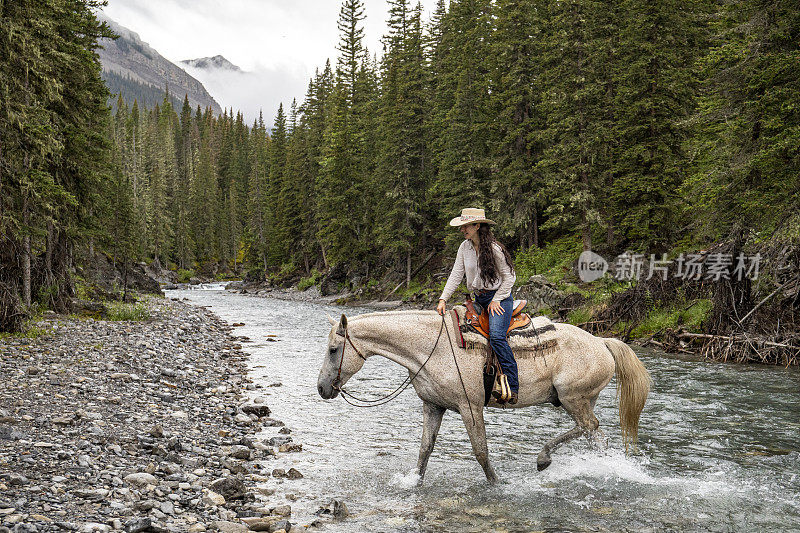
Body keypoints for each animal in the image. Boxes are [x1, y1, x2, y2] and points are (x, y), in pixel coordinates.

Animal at [316, 306, 652, 484]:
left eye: (333, 349)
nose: (321, 388)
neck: (433, 348)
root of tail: (602, 341)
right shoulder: (433, 407)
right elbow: (424, 450)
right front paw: (414, 482)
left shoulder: (470, 407)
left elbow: (481, 452)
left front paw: (496, 483)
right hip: (578, 399)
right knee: (593, 433)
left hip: (574, 398)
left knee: (591, 429)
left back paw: (549, 459)